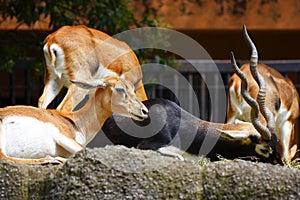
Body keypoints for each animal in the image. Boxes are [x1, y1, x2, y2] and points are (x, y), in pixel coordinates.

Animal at [0, 74, 149, 165]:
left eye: (132, 88)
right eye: (120, 89)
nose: (145, 111)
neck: (77, 122)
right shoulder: (63, 137)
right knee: (4, 157)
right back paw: (53, 159)